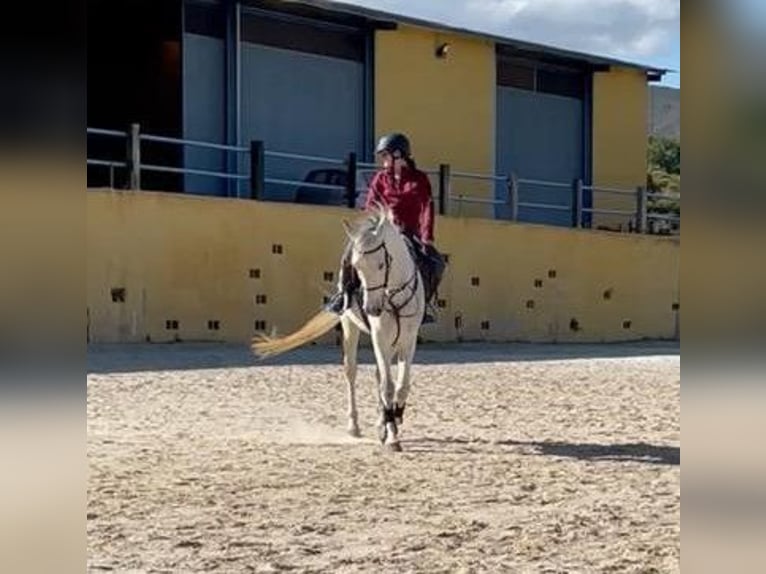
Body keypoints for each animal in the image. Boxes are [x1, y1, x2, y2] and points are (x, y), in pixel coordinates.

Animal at [256, 207, 426, 454]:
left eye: (381, 264)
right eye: (357, 267)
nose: (371, 308)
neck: (393, 295)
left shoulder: (408, 339)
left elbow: (401, 386)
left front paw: (393, 418)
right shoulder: (380, 337)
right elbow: (388, 386)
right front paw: (392, 435)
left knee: (379, 375)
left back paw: (381, 420)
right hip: (350, 326)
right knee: (351, 372)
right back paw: (355, 426)